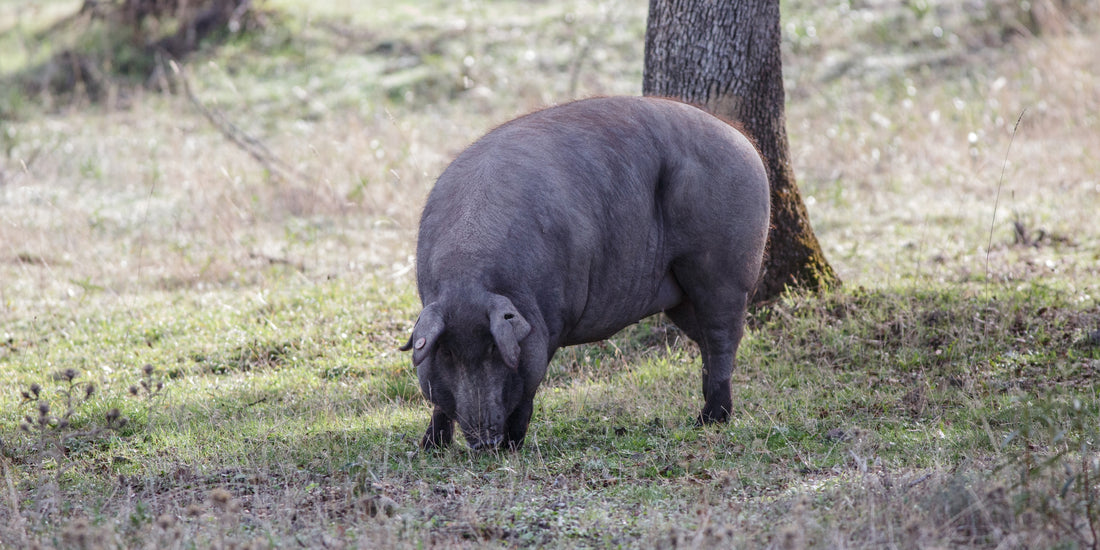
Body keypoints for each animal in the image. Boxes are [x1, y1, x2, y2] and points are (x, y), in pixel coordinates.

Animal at [400, 96, 770, 451]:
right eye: (447, 353)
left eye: (494, 348)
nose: (485, 443)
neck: (468, 280)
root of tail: (744, 142)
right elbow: (439, 403)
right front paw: (429, 448)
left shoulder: (549, 323)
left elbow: (529, 389)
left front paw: (512, 446)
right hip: (681, 296)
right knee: (705, 341)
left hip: (724, 271)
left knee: (724, 338)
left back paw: (710, 419)